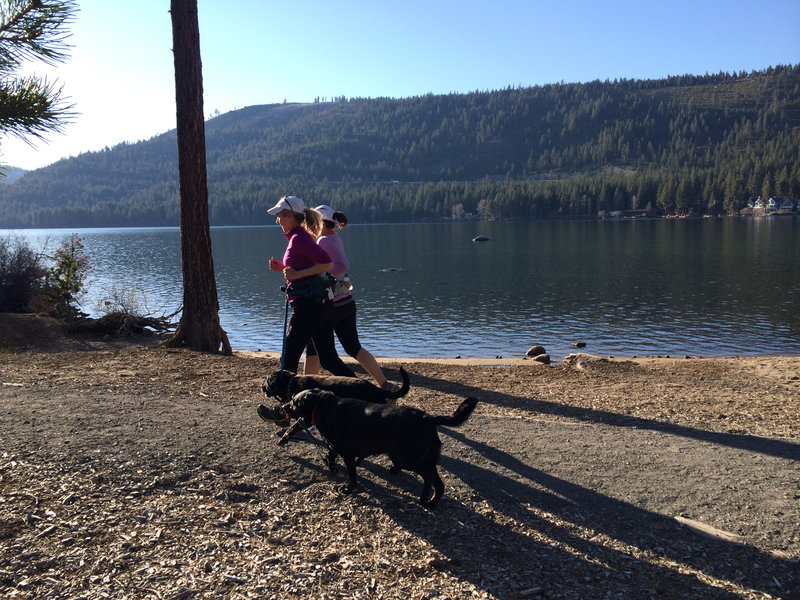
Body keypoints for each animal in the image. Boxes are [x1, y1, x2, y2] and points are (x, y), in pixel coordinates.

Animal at [282, 386, 478, 508]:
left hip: (407, 458)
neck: (323, 405)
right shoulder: (335, 447)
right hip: (422, 459)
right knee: (437, 483)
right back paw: (429, 502)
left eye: (294, 401)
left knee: (430, 479)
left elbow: (352, 475)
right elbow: (330, 456)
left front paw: (348, 489)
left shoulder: (347, 454)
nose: (283, 406)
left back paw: (426, 501)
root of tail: (427, 418)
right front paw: (333, 469)